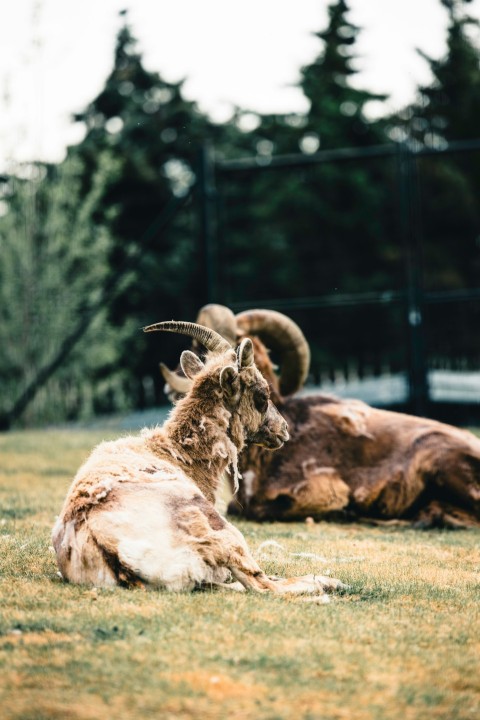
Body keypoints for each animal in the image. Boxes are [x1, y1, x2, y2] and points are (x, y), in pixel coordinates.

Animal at [52, 320, 345, 596]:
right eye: (262, 395)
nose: (283, 430)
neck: (175, 453)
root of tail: (112, 551)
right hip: (222, 532)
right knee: (262, 585)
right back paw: (328, 584)